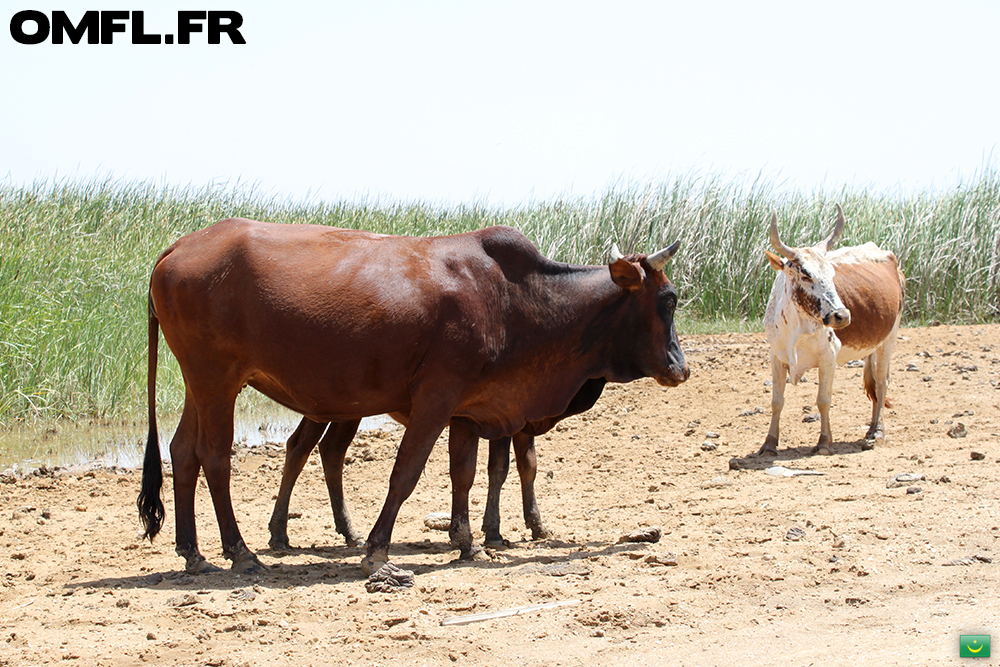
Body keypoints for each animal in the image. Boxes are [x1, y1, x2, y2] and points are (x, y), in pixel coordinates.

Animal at [266, 378, 604, 552]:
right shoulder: (507, 419)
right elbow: (500, 469)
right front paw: (494, 532)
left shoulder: (521, 421)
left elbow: (526, 466)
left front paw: (535, 525)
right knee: (300, 447)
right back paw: (279, 533)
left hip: (347, 411)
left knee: (331, 451)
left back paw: (348, 531)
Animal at [756, 206, 908, 456]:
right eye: (805, 274)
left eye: (832, 274)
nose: (842, 315)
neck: (798, 328)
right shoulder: (777, 356)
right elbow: (777, 401)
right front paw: (769, 443)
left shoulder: (828, 357)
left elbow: (823, 401)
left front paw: (824, 442)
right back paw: (871, 429)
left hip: (889, 338)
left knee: (881, 381)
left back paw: (877, 432)